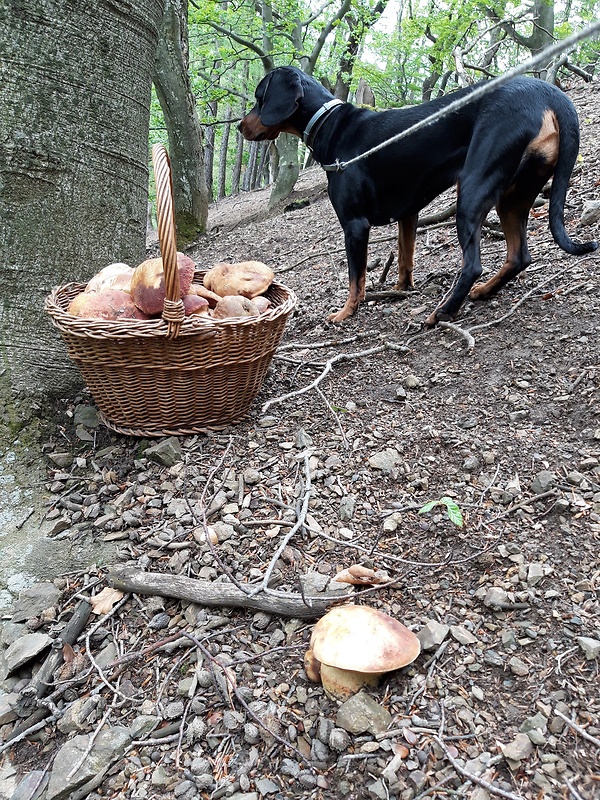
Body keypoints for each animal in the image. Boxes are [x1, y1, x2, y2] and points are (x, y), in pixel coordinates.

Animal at [238, 66, 596, 324]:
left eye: (259, 97)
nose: (241, 126)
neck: (330, 124)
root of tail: (550, 93)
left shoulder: (355, 225)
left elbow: (356, 278)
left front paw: (346, 313)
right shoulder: (408, 214)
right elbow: (405, 257)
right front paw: (402, 289)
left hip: (472, 187)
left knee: (473, 265)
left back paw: (444, 311)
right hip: (515, 195)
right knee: (519, 256)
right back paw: (483, 292)